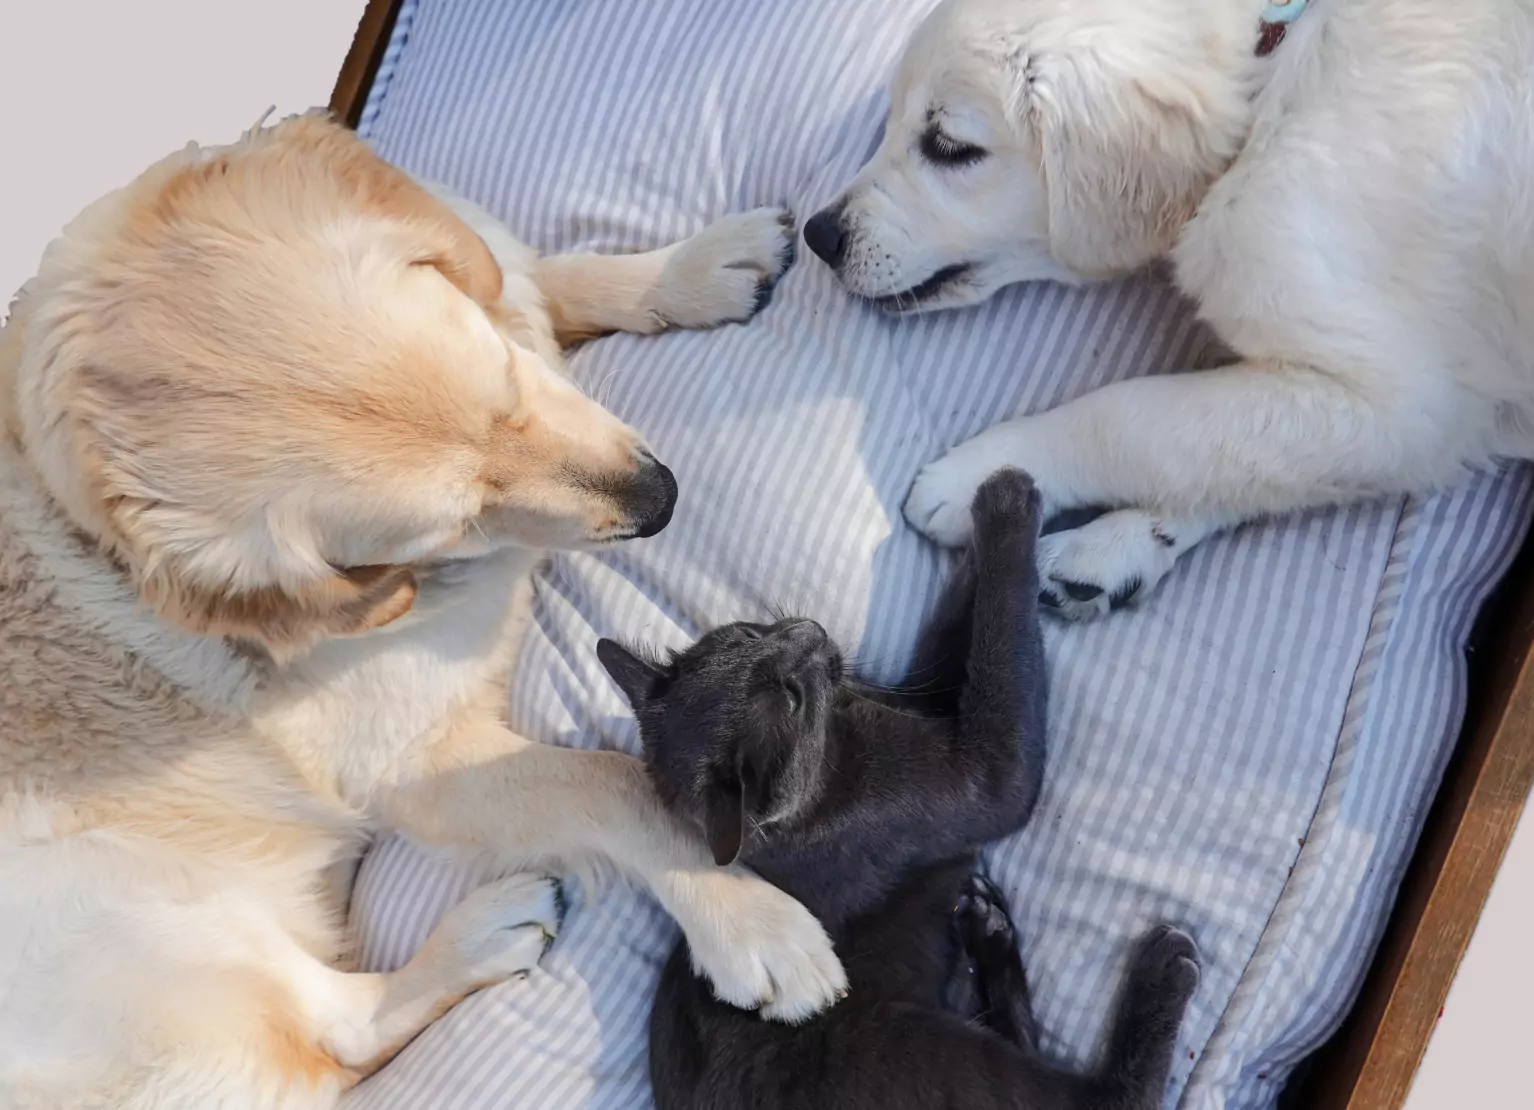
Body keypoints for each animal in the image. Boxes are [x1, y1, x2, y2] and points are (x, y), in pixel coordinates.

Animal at [0, 114, 846, 1110]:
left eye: (507, 383)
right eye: (456, 520)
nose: (661, 500)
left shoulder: (495, 276)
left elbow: (533, 268)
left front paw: (696, 265)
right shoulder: (416, 762)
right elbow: (607, 783)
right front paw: (750, 918)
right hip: (129, 911)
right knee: (338, 1026)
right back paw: (485, 935)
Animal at [595, 472, 1196, 1110]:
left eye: (754, 633)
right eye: (791, 698)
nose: (809, 631)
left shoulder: (929, 697)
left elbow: (971, 625)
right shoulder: (978, 774)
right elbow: (1003, 645)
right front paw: (1009, 501)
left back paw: (988, 931)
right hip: (921, 1052)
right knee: (1101, 1099)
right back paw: (1162, 971)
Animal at [803, 0, 1534, 616]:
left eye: (950, 147)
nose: (819, 236)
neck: (1270, 77)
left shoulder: (1407, 404)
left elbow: (1139, 416)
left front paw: (984, 477)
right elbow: (1232, 451)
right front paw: (1121, 544)